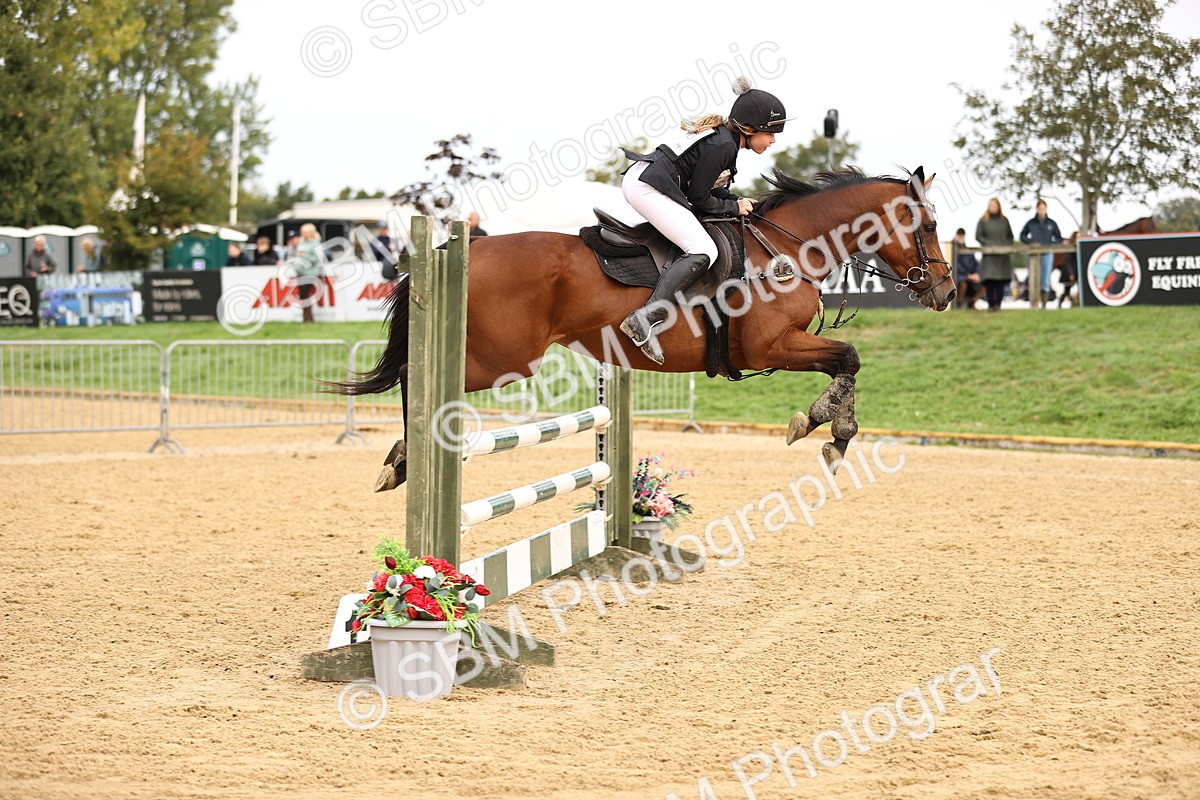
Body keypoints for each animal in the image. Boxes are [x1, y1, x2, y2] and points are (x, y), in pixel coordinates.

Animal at [334, 167, 956, 492]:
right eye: (927, 226)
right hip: (500, 359)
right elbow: (848, 355)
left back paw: (402, 459)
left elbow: (846, 359)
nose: (948, 293)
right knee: (417, 376)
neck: (786, 247)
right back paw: (405, 459)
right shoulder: (769, 346)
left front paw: (826, 427)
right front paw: (830, 429)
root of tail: (463, 248)